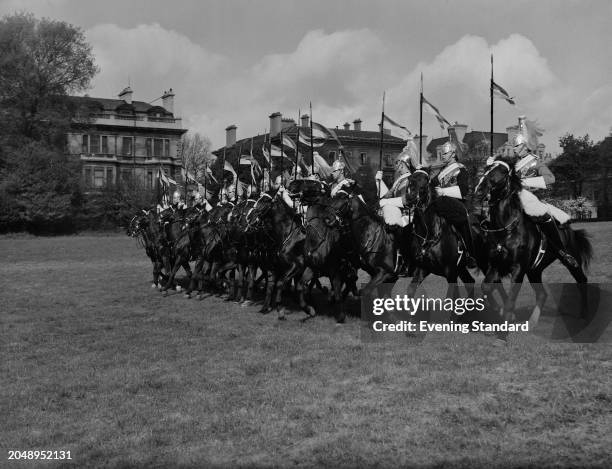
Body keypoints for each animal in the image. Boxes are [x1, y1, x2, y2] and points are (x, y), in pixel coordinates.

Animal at [474, 158, 592, 336]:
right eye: (486, 169)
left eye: (500, 173)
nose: (478, 190)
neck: (506, 228)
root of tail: (570, 229)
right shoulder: (495, 265)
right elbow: (486, 287)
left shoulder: (518, 269)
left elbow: (510, 300)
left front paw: (503, 332)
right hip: (534, 271)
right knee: (542, 294)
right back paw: (533, 322)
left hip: (571, 263)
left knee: (581, 281)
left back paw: (584, 315)